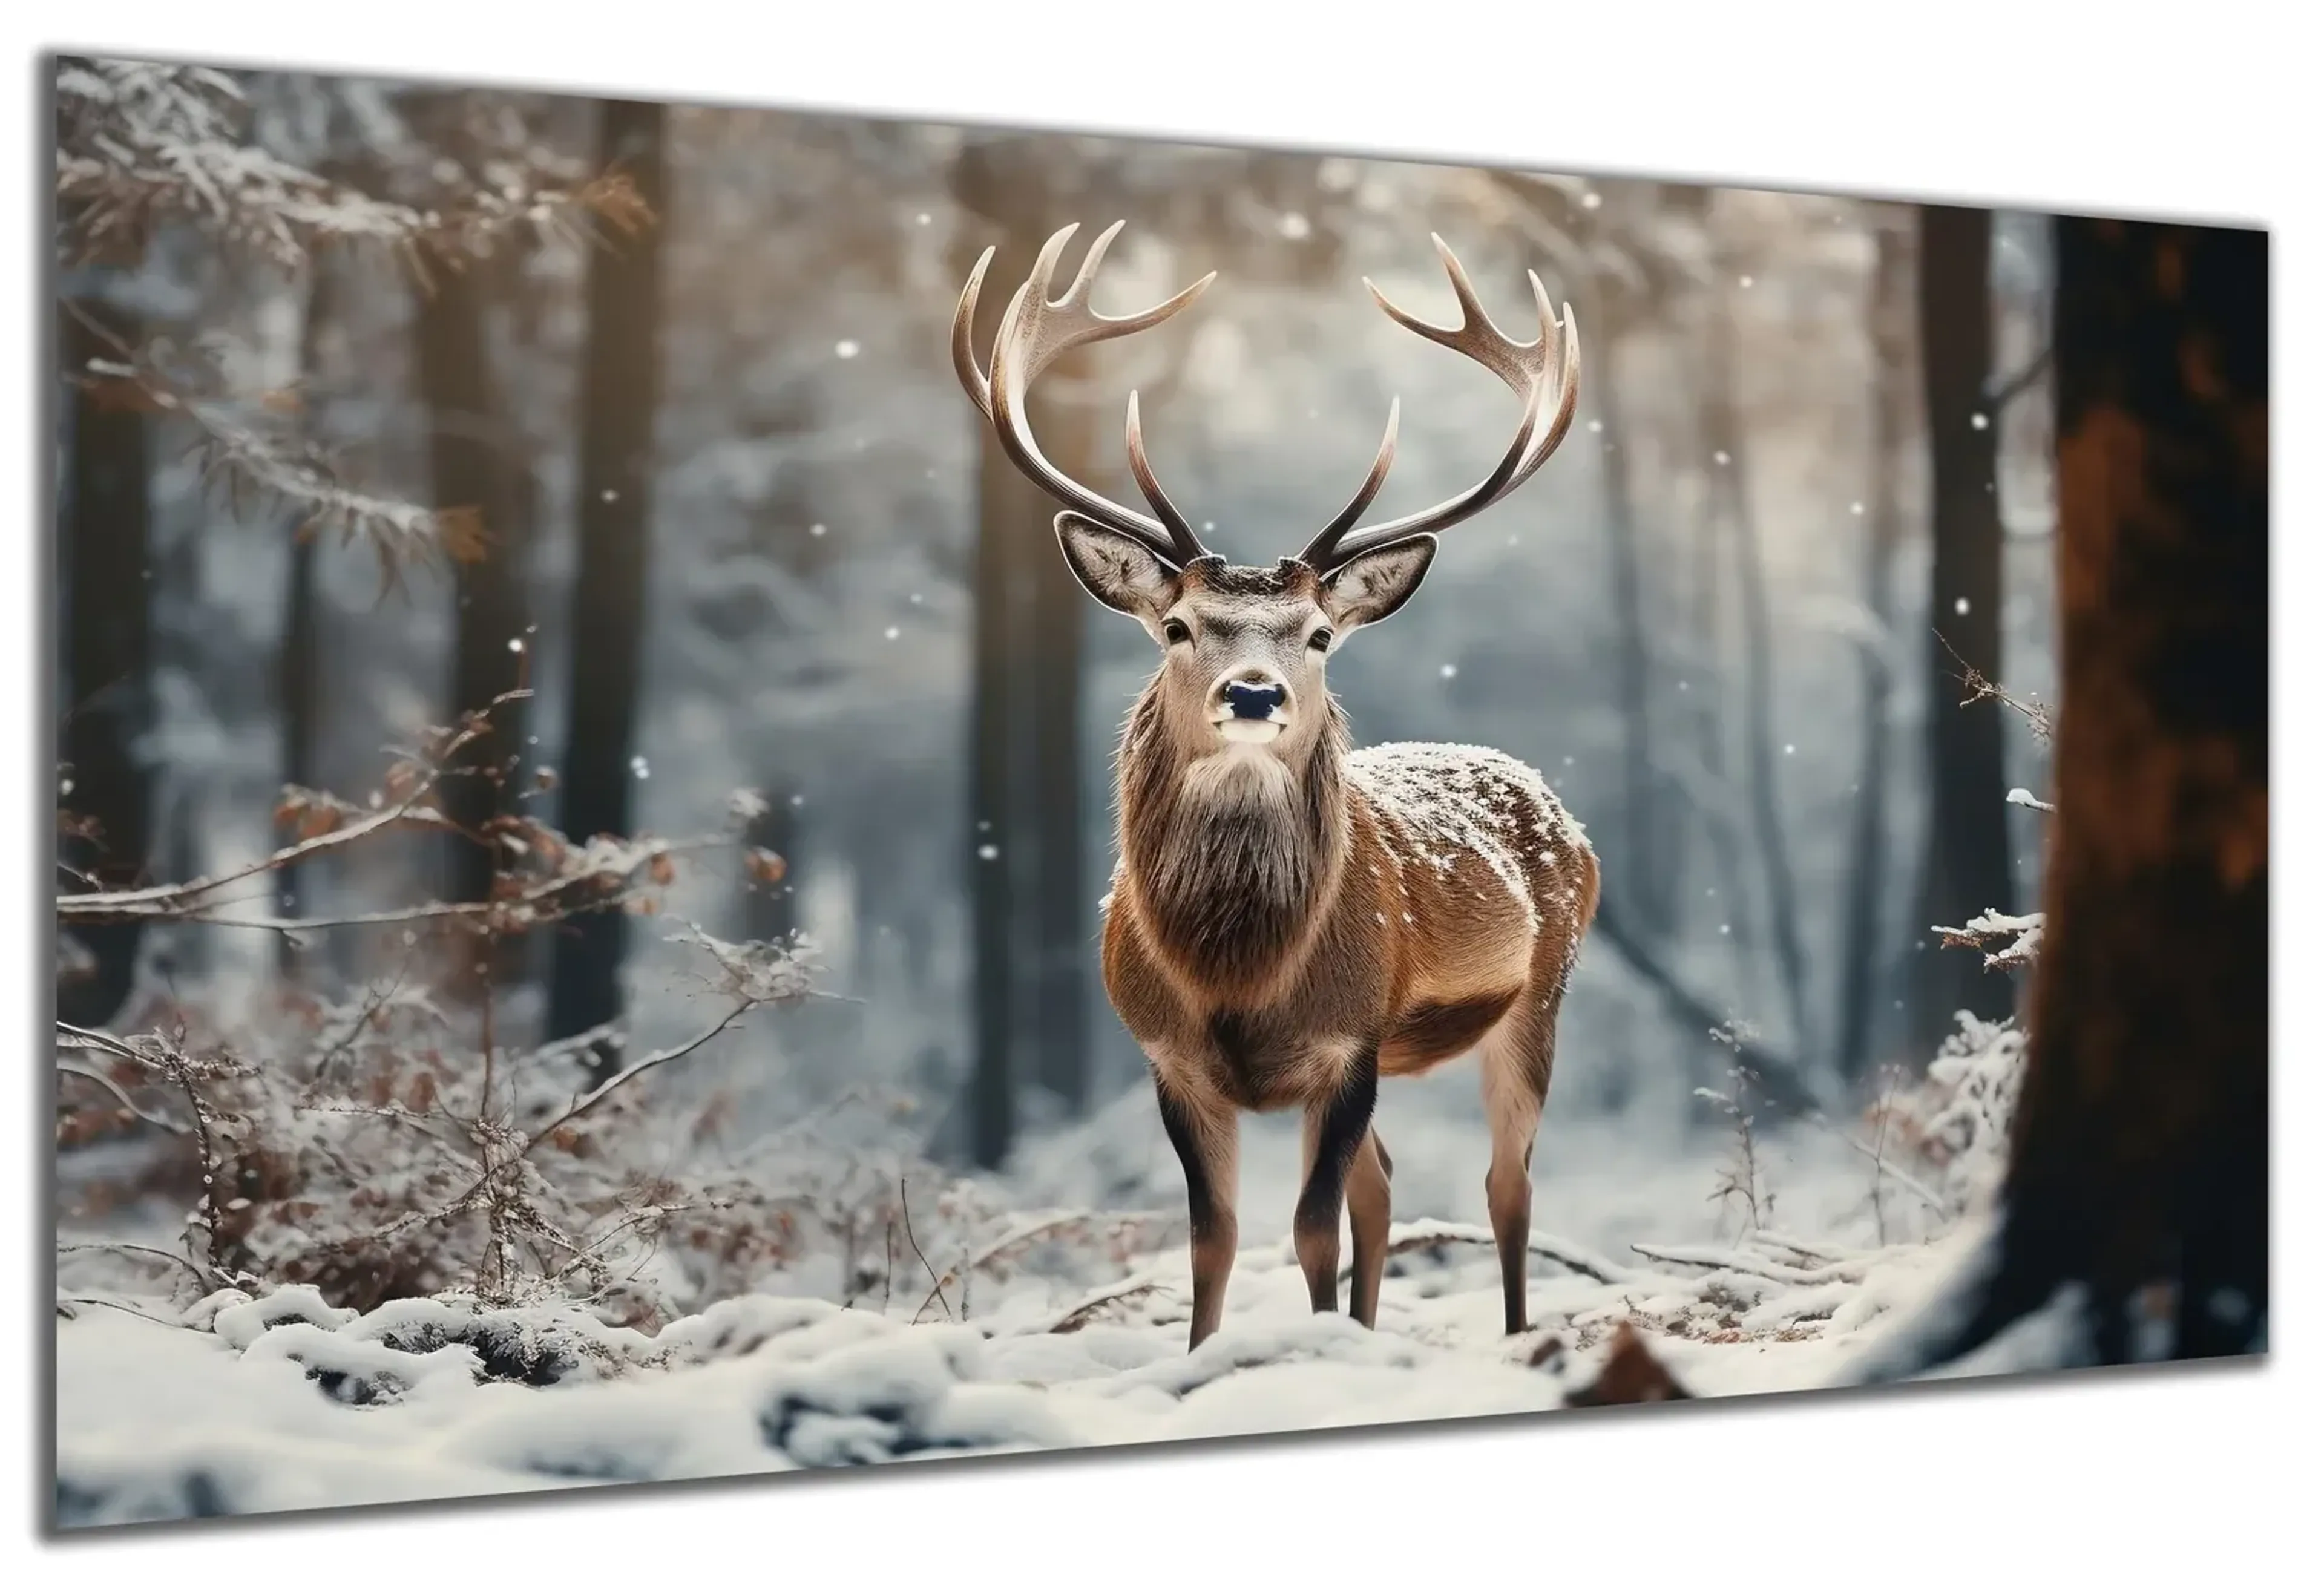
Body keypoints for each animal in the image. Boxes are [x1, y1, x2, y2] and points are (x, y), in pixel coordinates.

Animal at [951, 220, 1597, 1352]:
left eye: (1320, 634)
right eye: (1176, 626)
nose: (1253, 693)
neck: (1238, 975)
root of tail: (1566, 817)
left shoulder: (1349, 1042)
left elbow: (1308, 1232)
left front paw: (1311, 1347)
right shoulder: (1168, 1058)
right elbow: (1213, 1239)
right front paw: (1214, 1356)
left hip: (1540, 996)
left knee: (1505, 1185)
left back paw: (1517, 1336)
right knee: (1386, 1189)